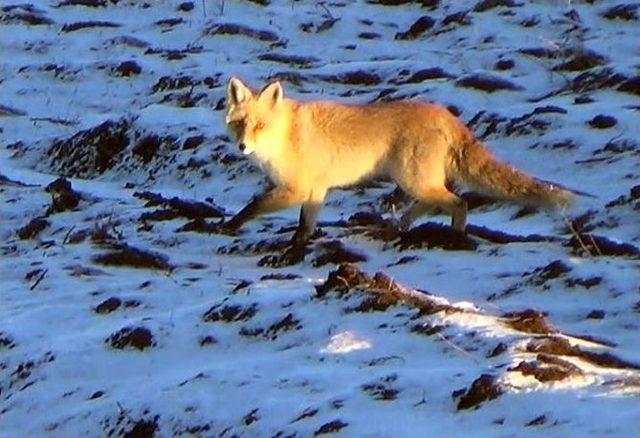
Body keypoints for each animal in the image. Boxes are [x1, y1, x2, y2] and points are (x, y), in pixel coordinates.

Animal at [221, 75, 576, 262]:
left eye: (260, 126)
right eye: (240, 124)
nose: (243, 147)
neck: (285, 137)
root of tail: (445, 113)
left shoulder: (297, 189)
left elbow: (255, 205)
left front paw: (230, 226)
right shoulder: (316, 191)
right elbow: (304, 225)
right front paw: (298, 245)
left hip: (413, 179)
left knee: (458, 201)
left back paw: (455, 236)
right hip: (414, 181)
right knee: (434, 203)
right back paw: (401, 225)